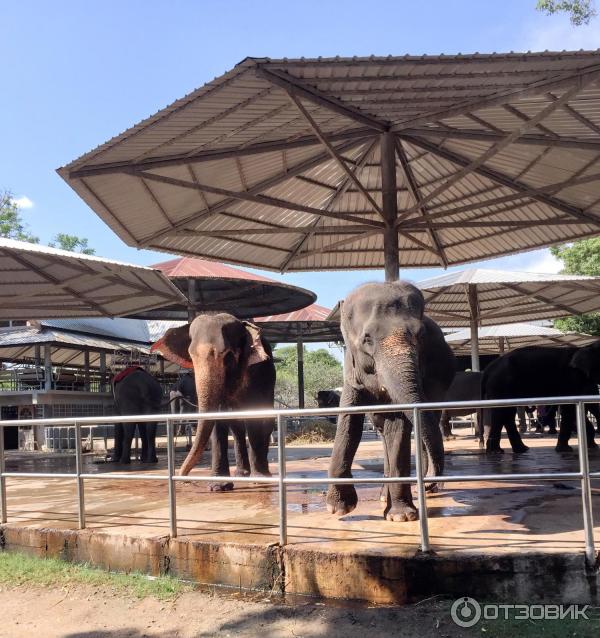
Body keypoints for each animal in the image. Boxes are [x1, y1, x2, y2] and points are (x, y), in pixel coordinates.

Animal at [151, 316, 276, 490]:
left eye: (228, 355)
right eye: (191, 357)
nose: (185, 480)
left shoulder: (257, 373)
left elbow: (254, 416)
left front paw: (259, 480)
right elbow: (218, 416)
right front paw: (219, 487)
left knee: (266, 421)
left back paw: (263, 475)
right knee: (237, 426)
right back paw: (241, 474)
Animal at [328, 282, 454, 524]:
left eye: (421, 336)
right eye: (367, 339)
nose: (431, 483)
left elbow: (397, 425)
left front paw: (401, 517)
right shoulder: (351, 369)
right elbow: (349, 422)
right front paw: (338, 509)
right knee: (382, 429)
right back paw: (384, 497)